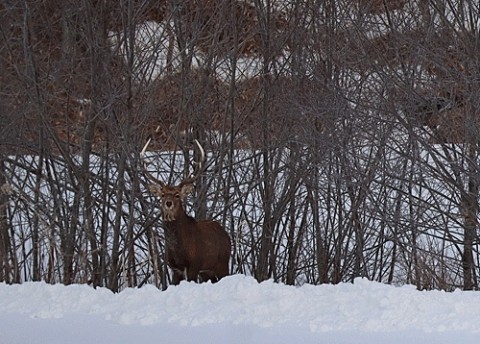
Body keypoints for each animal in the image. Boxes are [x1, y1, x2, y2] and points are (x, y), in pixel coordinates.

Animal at [141, 134, 231, 284]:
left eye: (177, 195)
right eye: (163, 194)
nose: (168, 203)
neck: (178, 250)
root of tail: (226, 235)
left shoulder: (194, 264)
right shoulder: (175, 268)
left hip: (223, 262)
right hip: (207, 271)